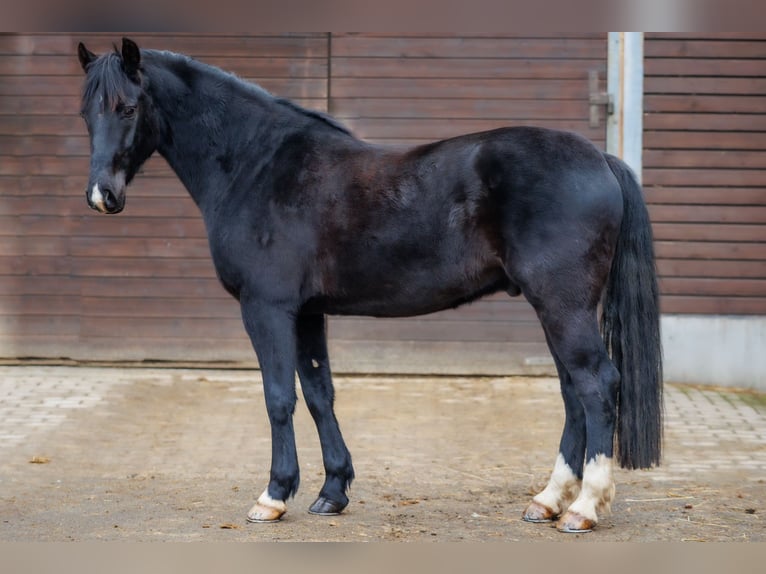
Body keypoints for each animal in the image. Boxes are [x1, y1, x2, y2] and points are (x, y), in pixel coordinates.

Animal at [79, 39, 664, 536]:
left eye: (127, 108)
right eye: (88, 113)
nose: (102, 196)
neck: (257, 165)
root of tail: (601, 160)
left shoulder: (266, 308)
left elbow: (278, 397)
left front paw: (274, 496)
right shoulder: (307, 312)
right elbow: (319, 394)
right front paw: (332, 491)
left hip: (563, 307)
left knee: (596, 386)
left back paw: (584, 508)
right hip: (555, 309)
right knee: (572, 392)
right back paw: (547, 501)